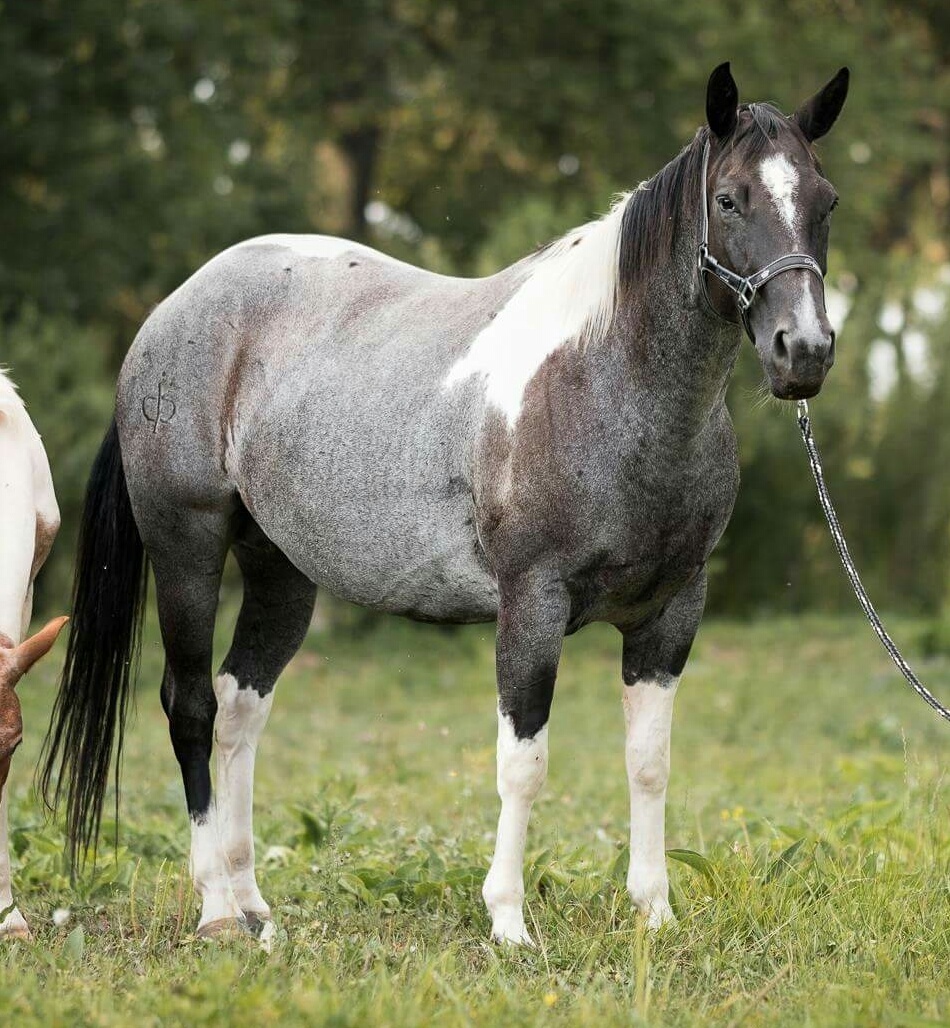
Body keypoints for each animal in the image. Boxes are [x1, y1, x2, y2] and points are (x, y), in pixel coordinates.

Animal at [42, 63, 849, 943]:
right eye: (731, 199)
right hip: (186, 549)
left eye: (825, 200)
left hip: (280, 572)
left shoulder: (671, 613)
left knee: (237, 708)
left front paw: (654, 914)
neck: (605, 382)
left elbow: (649, 764)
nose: (804, 352)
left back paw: (253, 903)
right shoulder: (531, 605)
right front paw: (509, 922)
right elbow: (523, 765)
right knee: (188, 706)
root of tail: (169, 314)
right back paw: (217, 908)